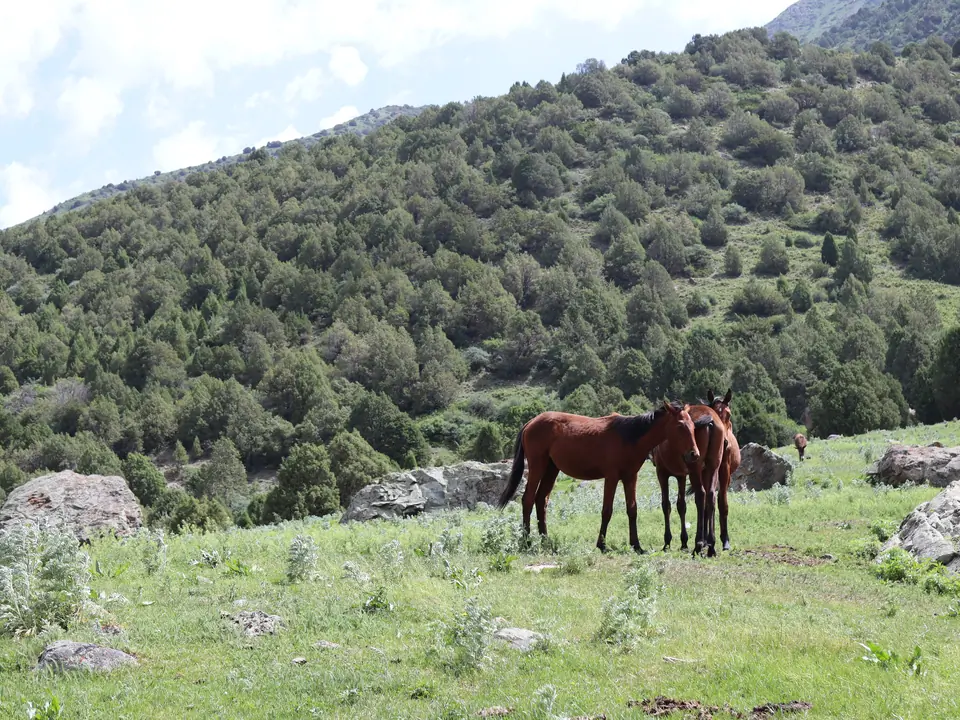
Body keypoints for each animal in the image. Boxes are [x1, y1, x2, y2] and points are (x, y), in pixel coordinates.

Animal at [497, 401, 700, 554]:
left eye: (693, 426)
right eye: (680, 426)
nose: (694, 454)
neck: (629, 436)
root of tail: (530, 423)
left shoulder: (630, 478)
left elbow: (632, 510)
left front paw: (636, 545)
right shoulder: (611, 477)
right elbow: (607, 511)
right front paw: (601, 544)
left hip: (551, 470)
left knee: (541, 501)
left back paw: (545, 540)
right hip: (538, 467)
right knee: (528, 500)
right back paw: (526, 542)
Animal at [651, 403, 725, 555]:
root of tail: (710, 420)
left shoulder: (662, 473)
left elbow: (666, 505)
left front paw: (667, 541)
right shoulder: (682, 476)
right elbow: (681, 505)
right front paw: (684, 542)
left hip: (694, 470)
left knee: (701, 495)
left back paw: (698, 543)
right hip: (712, 468)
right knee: (710, 496)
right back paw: (711, 544)